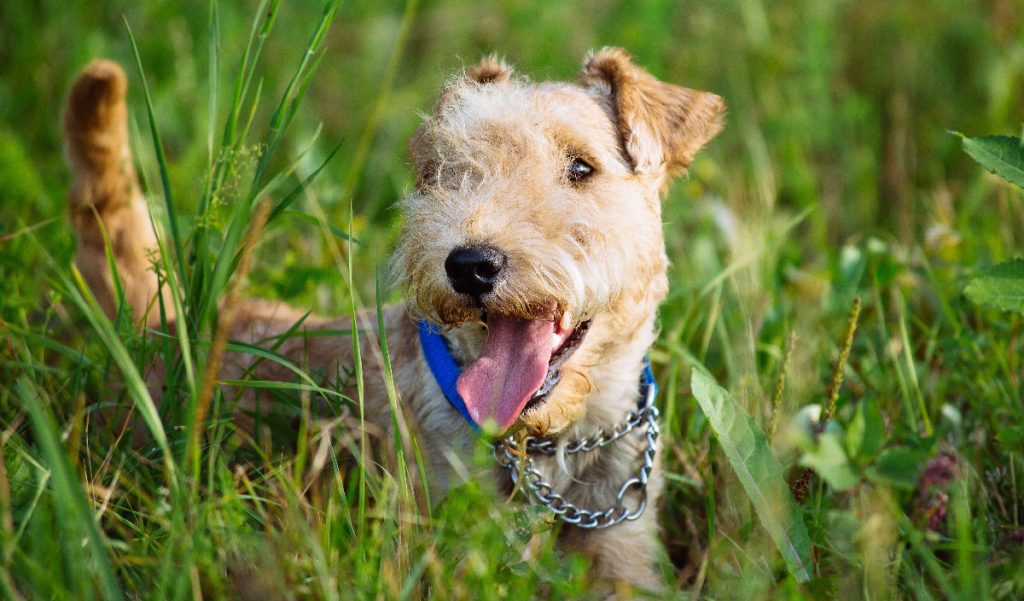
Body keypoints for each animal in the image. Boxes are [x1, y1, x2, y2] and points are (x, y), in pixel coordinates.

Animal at [64, 49, 724, 593]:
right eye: (444, 172)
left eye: (581, 167)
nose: (470, 264)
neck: (548, 447)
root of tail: (156, 320)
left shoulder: (623, 556)